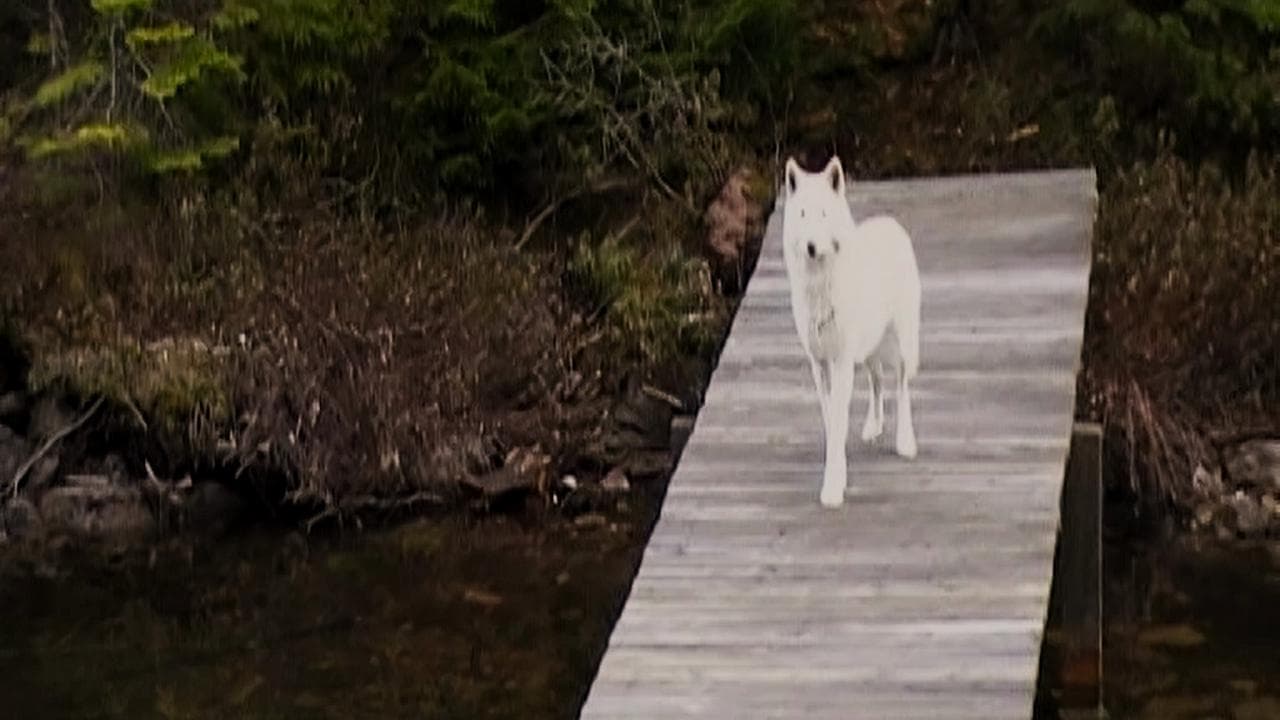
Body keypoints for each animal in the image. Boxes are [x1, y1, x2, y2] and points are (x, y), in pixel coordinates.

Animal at [781, 155, 921, 508]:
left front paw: (833, 487)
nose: (811, 246)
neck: (820, 287)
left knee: (901, 386)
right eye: (802, 213)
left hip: (899, 345)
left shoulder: (841, 362)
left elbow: (839, 419)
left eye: (823, 213)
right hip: (868, 349)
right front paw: (840, 467)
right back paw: (873, 426)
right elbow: (832, 420)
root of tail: (891, 223)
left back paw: (905, 442)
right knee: (877, 380)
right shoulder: (819, 364)